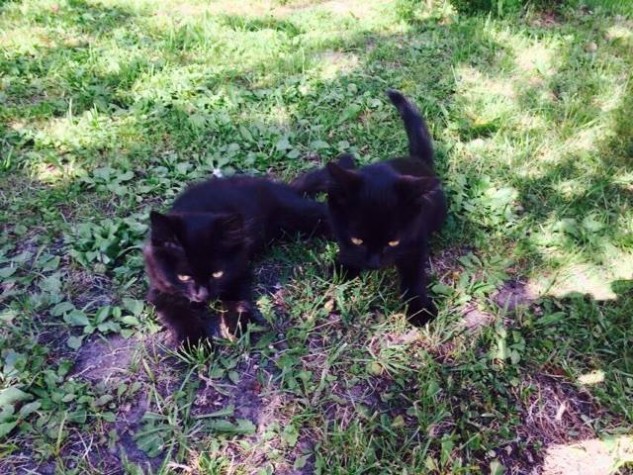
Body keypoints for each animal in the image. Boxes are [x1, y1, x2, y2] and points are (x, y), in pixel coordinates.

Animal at [144, 176, 329, 345]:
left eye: (217, 274)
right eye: (183, 277)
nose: (203, 295)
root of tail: (280, 186)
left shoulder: (239, 271)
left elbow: (236, 299)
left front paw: (235, 326)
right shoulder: (160, 289)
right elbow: (179, 316)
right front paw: (194, 344)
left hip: (298, 215)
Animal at [292, 90, 447, 325]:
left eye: (393, 242)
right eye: (357, 239)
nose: (373, 264)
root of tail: (418, 161)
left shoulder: (415, 236)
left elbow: (414, 272)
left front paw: (419, 307)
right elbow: (346, 247)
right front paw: (343, 267)